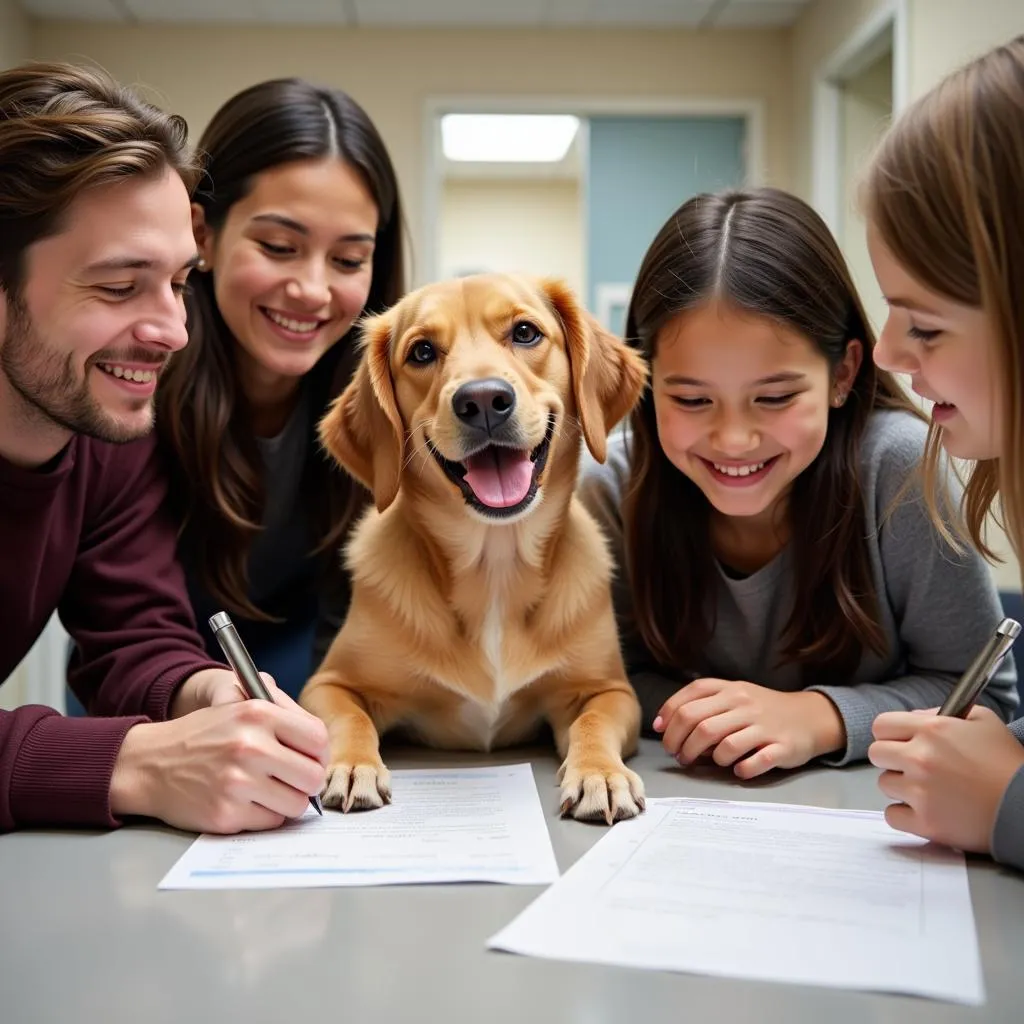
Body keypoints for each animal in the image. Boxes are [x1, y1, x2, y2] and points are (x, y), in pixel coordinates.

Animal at [299, 272, 647, 823]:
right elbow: (350, 719)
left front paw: (600, 774)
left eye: (525, 332)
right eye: (421, 351)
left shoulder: (609, 691)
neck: (494, 564)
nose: (482, 400)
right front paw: (354, 764)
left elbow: (593, 722)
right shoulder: (327, 685)